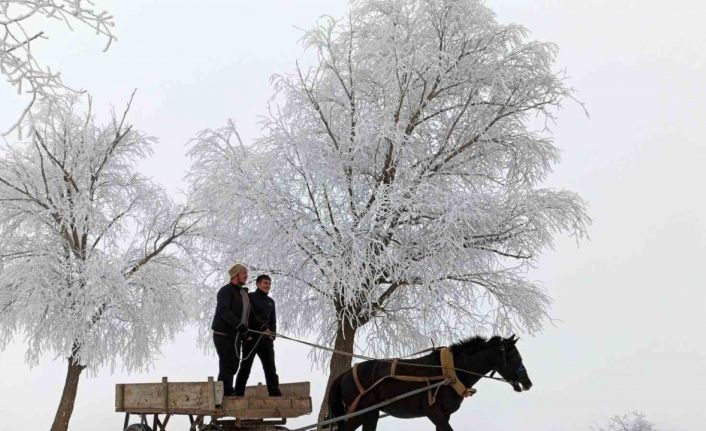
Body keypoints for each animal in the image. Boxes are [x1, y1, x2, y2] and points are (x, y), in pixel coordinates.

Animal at [328, 336, 532, 430]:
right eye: (513, 355)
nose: (528, 382)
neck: (451, 372)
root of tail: (345, 374)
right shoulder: (433, 412)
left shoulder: (445, 414)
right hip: (361, 412)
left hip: (367, 413)